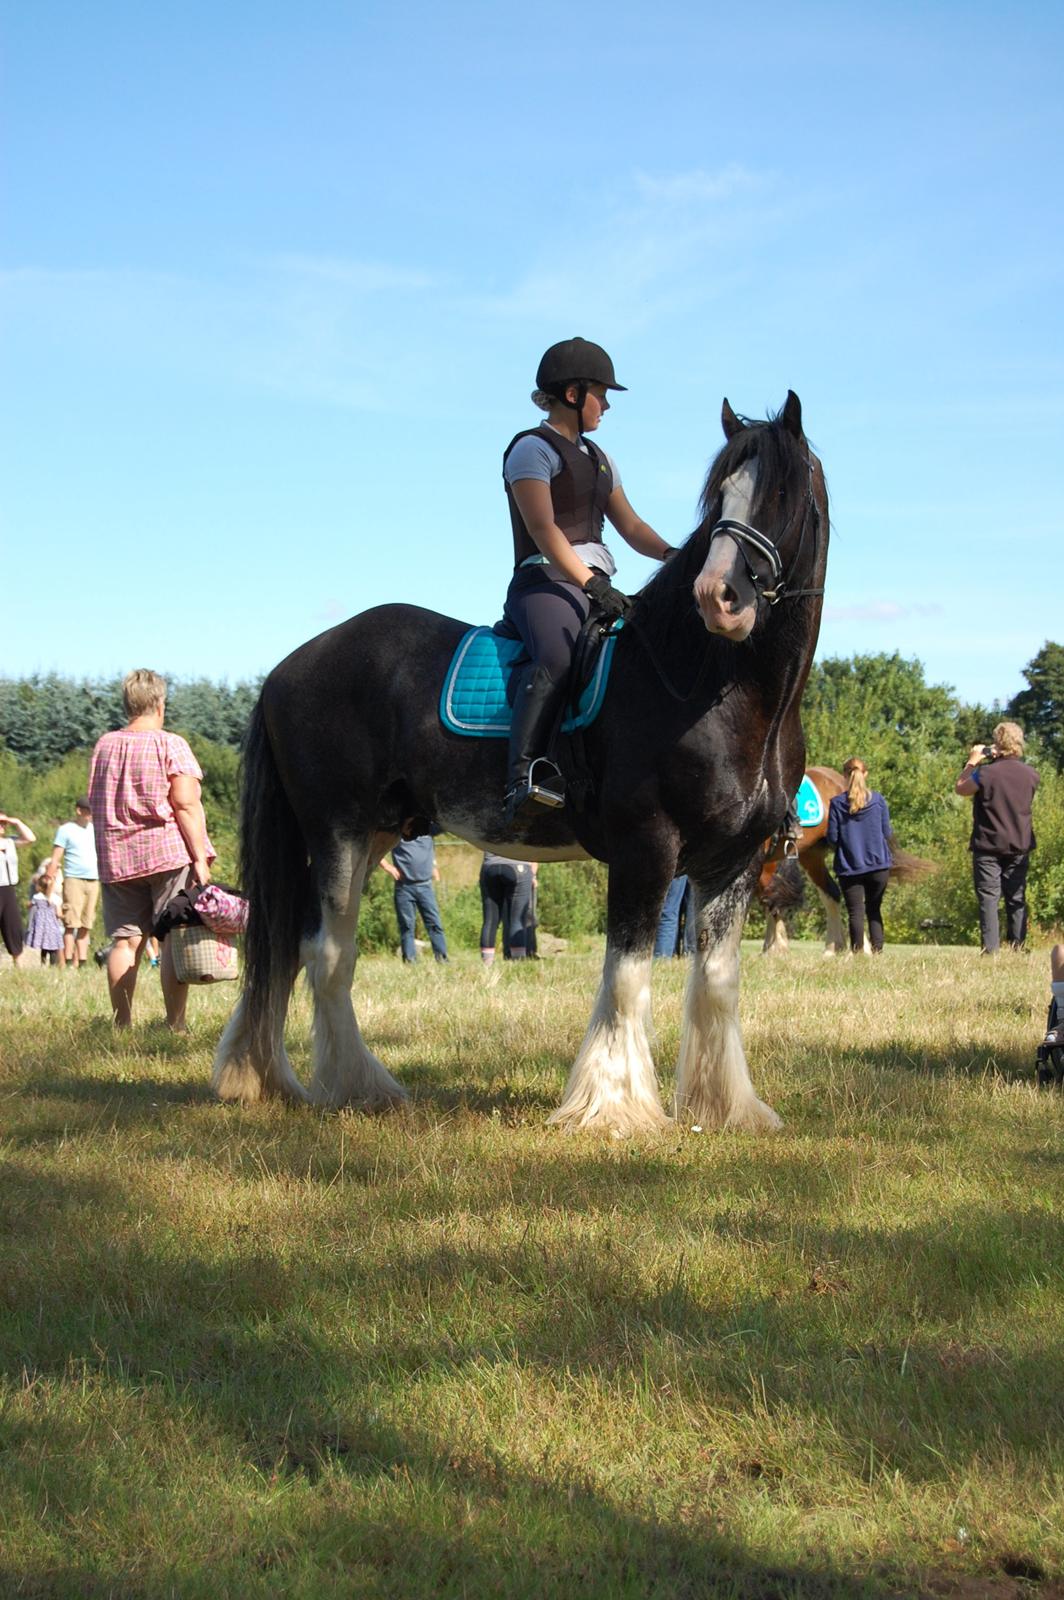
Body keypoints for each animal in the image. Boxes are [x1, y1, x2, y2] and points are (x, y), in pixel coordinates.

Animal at [214, 392, 832, 1132]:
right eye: (719, 498)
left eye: (780, 492)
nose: (719, 598)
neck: (714, 685)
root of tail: (289, 666)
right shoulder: (646, 848)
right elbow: (627, 975)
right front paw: (613, 1109)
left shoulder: (733, 861)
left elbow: (716, 983)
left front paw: (724, 1108)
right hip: (336, 829)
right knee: (326, 952)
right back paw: (355, 1086)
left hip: (374, 833)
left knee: (286, 945)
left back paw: (264, 1078)